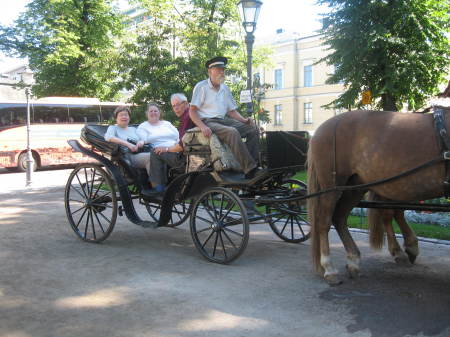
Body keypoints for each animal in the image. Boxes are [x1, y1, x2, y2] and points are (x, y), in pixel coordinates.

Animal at [306, 109, 446, 284]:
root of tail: (322, 128)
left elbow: (393, 213)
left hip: (355, 187)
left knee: (339, 217)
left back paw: (354, 260)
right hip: (332, 188)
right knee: (323, 222)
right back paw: (329, 267)